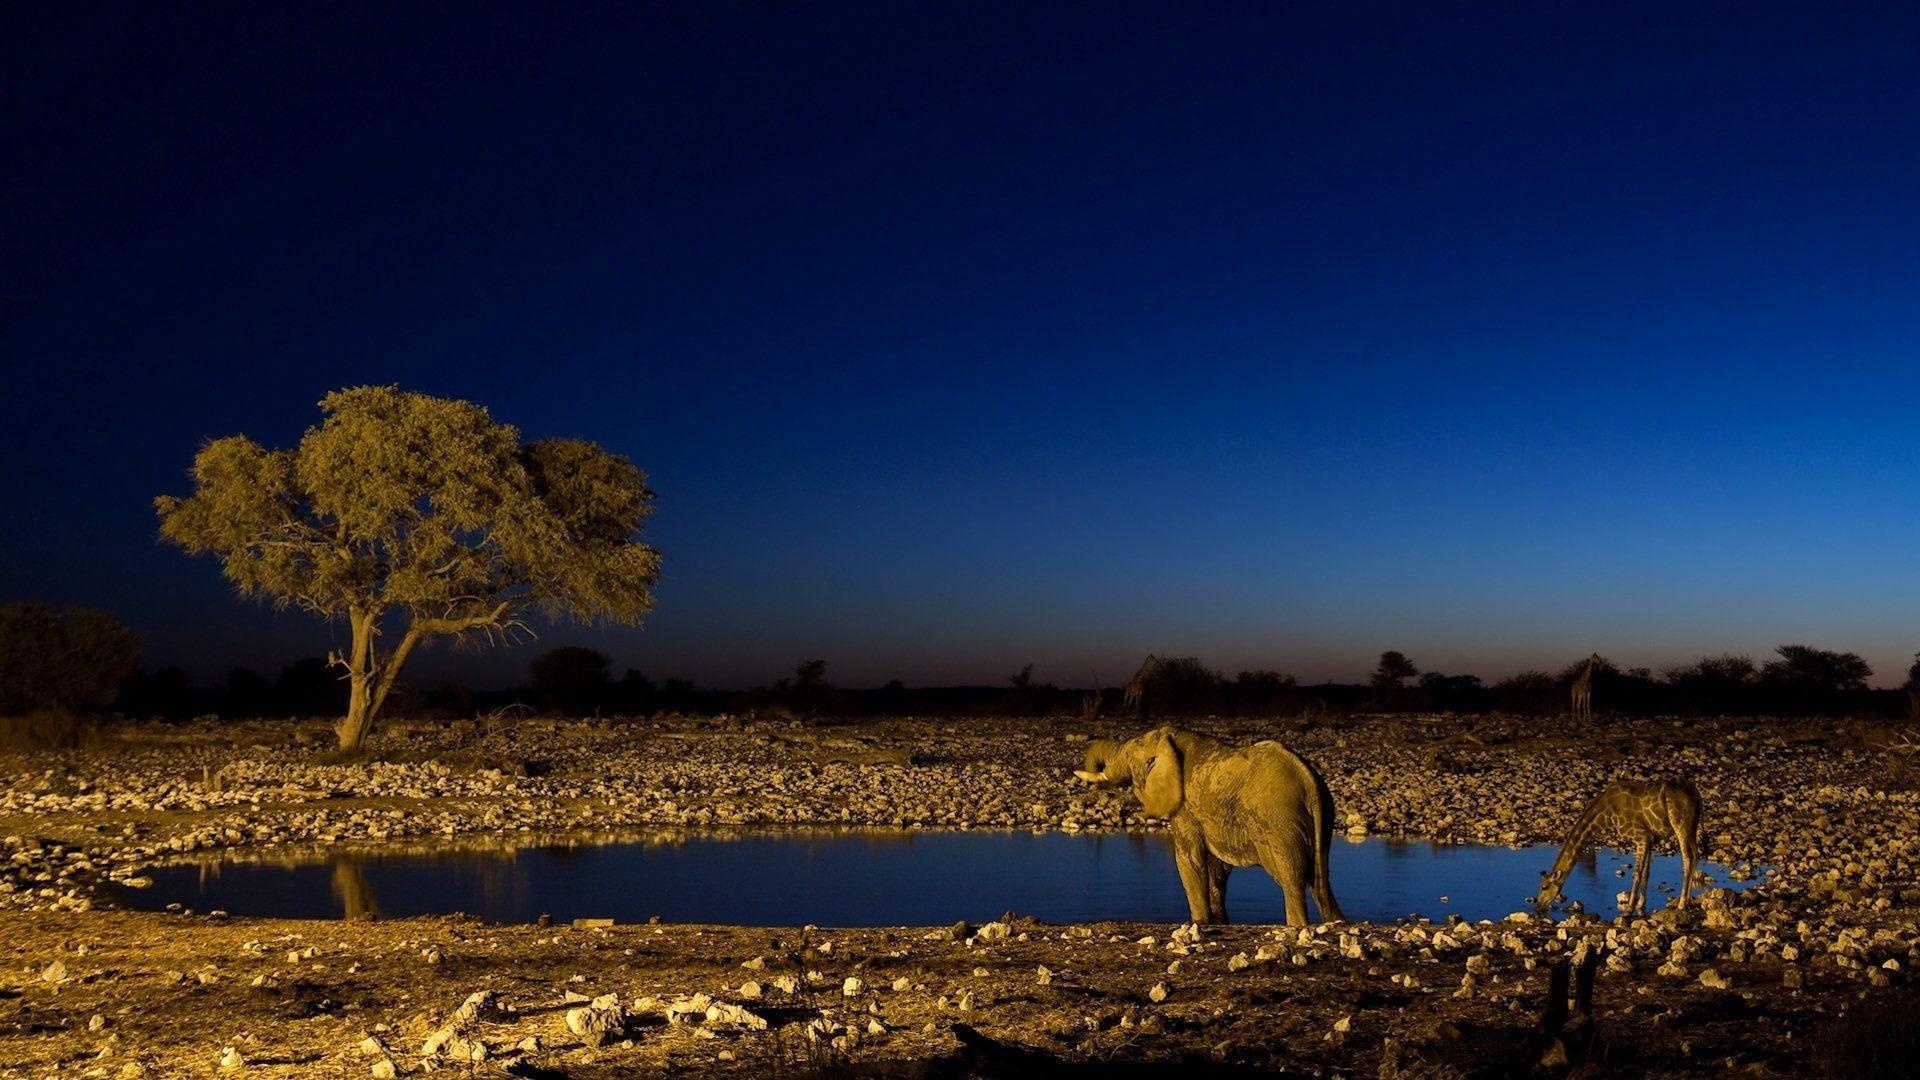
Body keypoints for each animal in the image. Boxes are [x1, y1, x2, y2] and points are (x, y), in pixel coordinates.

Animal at [1075, 722, 1344, 926]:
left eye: (1128, 755)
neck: (1169, 739)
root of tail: (1308, 780)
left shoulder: (1185, 809)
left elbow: (1189, 858)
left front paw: (1199, 923)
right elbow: (1217, 867)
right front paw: (1219, 922)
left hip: (1279, 821)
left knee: (1292, 878)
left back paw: (1298, 926)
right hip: (1322, 816)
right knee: (1320, 879)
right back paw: (1335, 922)